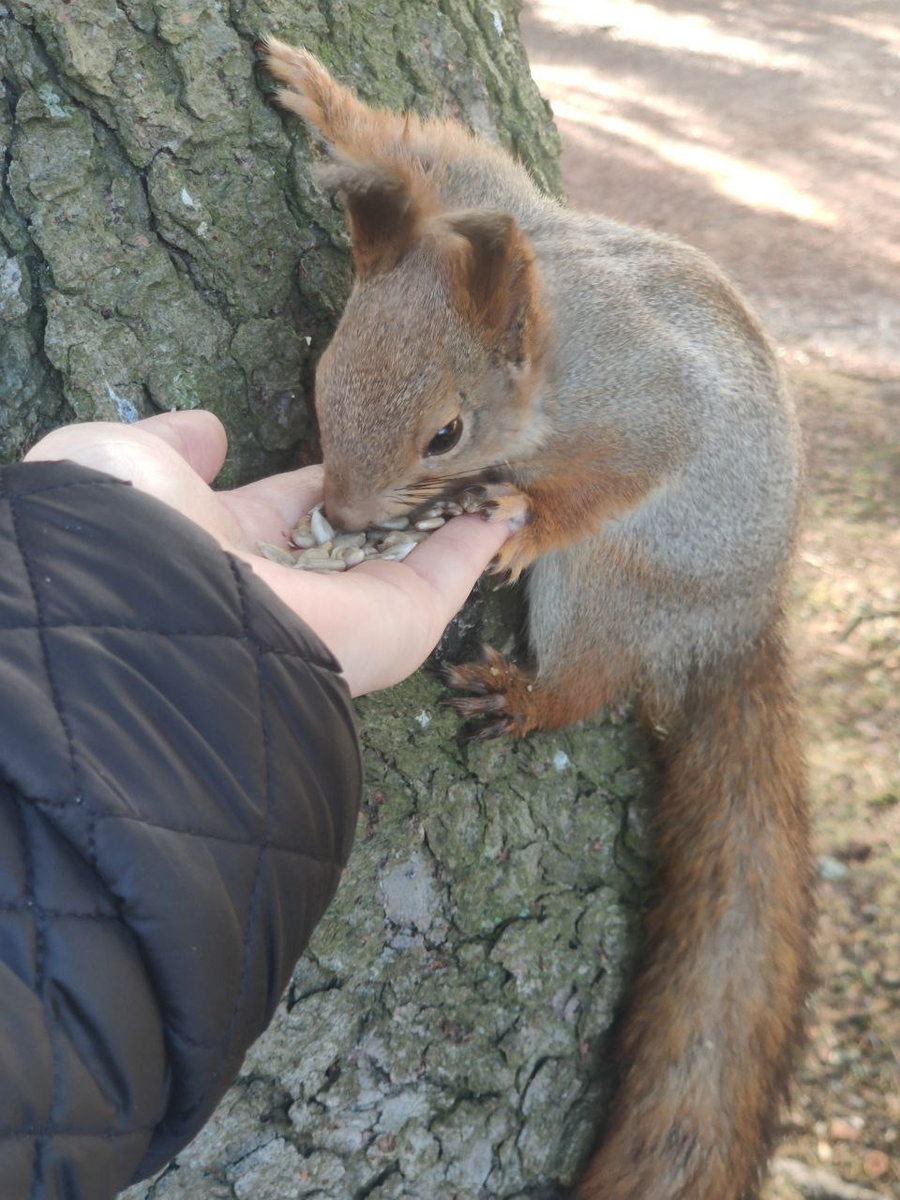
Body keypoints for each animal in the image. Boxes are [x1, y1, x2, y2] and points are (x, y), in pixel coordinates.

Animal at [260, 35, 816, 1200]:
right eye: (327, 373)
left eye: (446, 433)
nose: (344, 517)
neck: (556, 342)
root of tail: (738, 626)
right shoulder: (485, 199)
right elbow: (425, 145)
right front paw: (316, 91)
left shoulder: (647, 410)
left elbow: (619, 471)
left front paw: (521, 524)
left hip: (621, 586)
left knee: (597, 675)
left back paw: (526, 694)